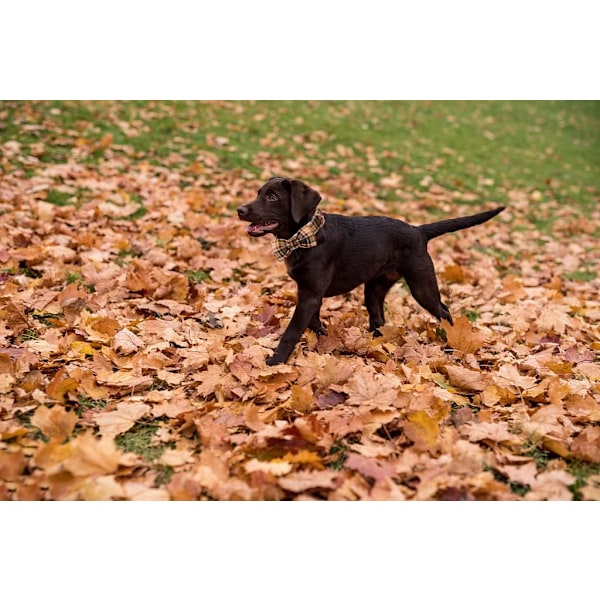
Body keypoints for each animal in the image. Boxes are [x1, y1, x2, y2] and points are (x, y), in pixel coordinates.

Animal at [237, 177, 504, 366]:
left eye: (272, 196)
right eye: (258, 193)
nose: (240, 210)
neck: (305, 237)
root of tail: (418, 231)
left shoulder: (310, 294)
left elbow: (292, 331)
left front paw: (276, 361)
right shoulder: (311, 294)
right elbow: (313, 321)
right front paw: (322, 339)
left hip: (422, 285)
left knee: (444, 310)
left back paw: (451, 342)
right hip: (375, 288)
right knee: (379, 320)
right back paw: (375, 347)